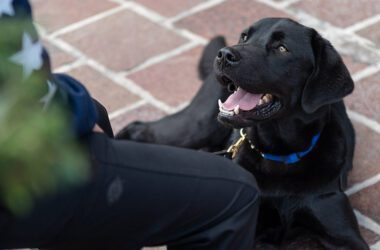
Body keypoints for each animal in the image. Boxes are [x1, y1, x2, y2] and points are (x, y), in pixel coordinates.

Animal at [118, 18, 368, 250]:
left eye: (282, 48)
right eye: (244, 37)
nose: (224, 55)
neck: (279, 155)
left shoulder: (341, 229)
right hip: (195, 127)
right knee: (139, 130)